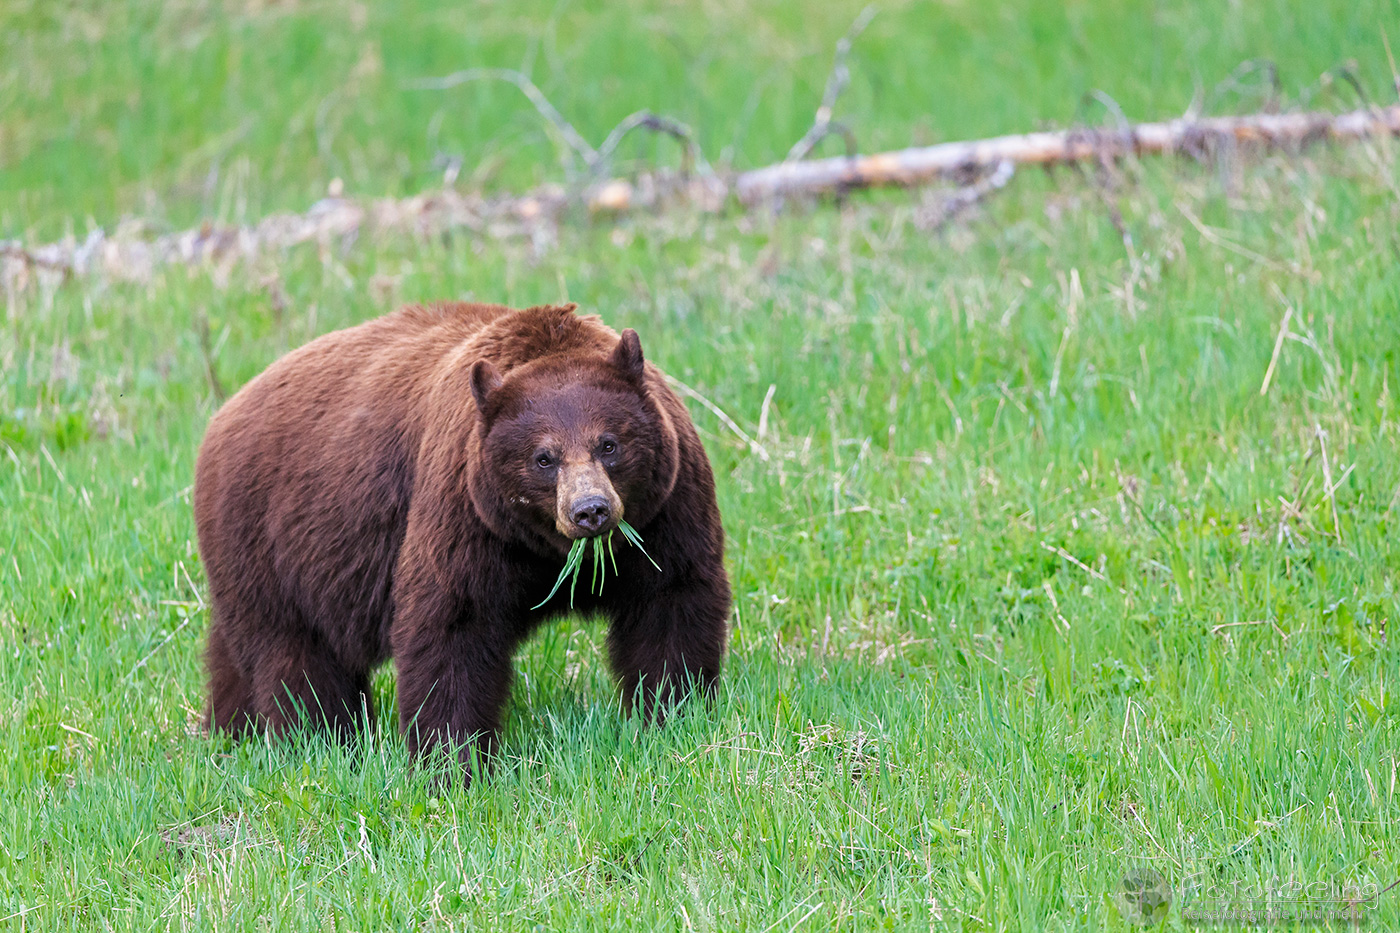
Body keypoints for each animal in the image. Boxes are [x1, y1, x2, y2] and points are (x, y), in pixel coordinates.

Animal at [193, 301, 730, 775]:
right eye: (543, 457)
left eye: (609, 444)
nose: (590, 510)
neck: (547, 549)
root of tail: (221, 416)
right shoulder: (466, 513)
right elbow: (451, 626)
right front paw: (453, 760)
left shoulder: (668, 507)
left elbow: (672, 602)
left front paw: (672, 712)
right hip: (270, 544)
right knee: (294, 660)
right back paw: (314, 740)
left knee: (232, 654)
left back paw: (230, 727)